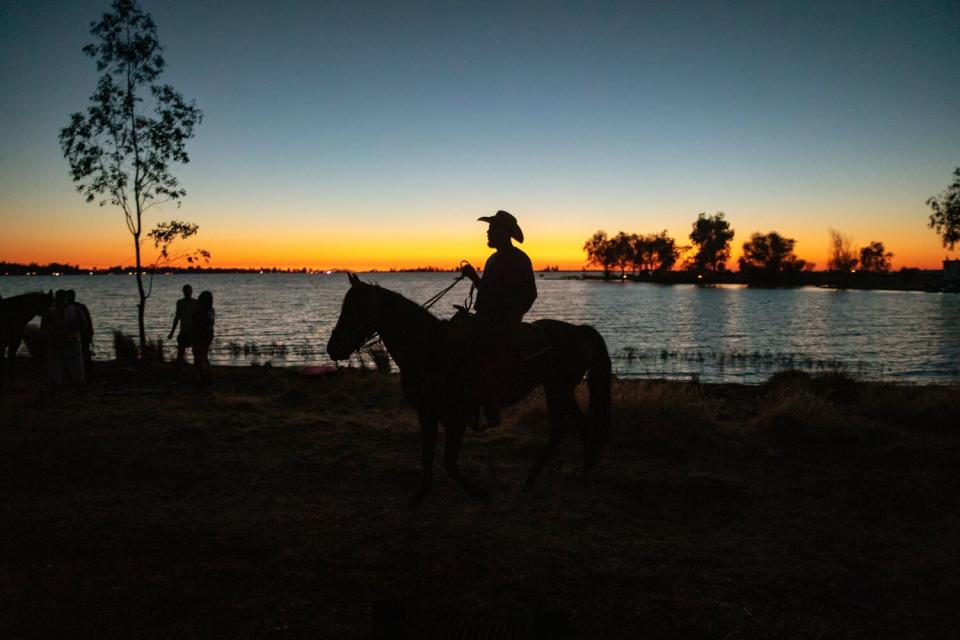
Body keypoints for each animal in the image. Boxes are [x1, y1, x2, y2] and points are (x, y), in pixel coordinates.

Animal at [324, 272, 608, 508]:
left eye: (356, 309)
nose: (332, 348)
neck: (431, 349)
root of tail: (579, 330)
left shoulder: (456, 417)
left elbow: (449, 464)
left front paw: (481, 493)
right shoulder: (426, 413)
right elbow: (427, 453)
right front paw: (422, 493)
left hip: (558, 389)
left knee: (563, 428)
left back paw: (539, 477)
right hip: (560, 389)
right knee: (575, 425)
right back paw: (578, 469)